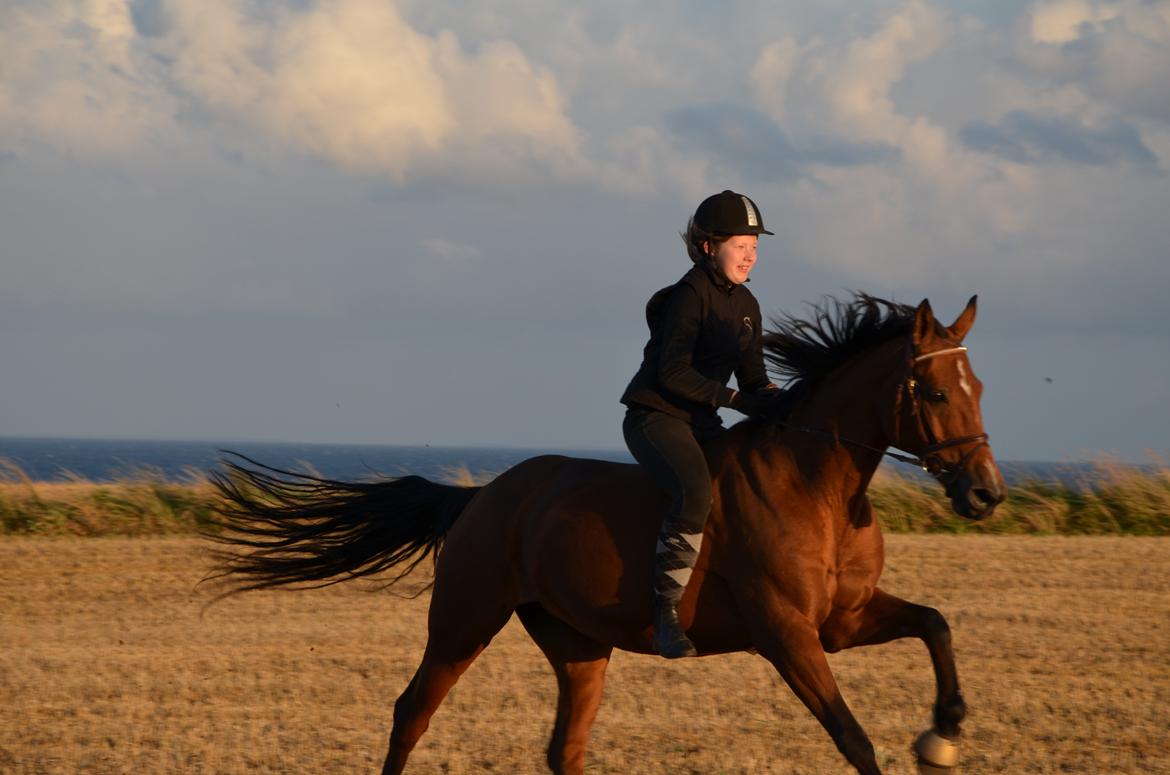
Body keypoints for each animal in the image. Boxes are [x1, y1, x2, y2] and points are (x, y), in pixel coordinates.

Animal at [203, 295, 1006, 772]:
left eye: (980, 389)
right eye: (937, 392)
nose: (986, 493)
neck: (821, 488)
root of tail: (482, 497)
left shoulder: (842, 621)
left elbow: (936, 623)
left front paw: (944, 731)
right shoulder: (788, 633)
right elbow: (852, 735)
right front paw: (933, 736)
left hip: (578, 644)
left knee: (565, 747)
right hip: (464, 620)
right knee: (412, 712)